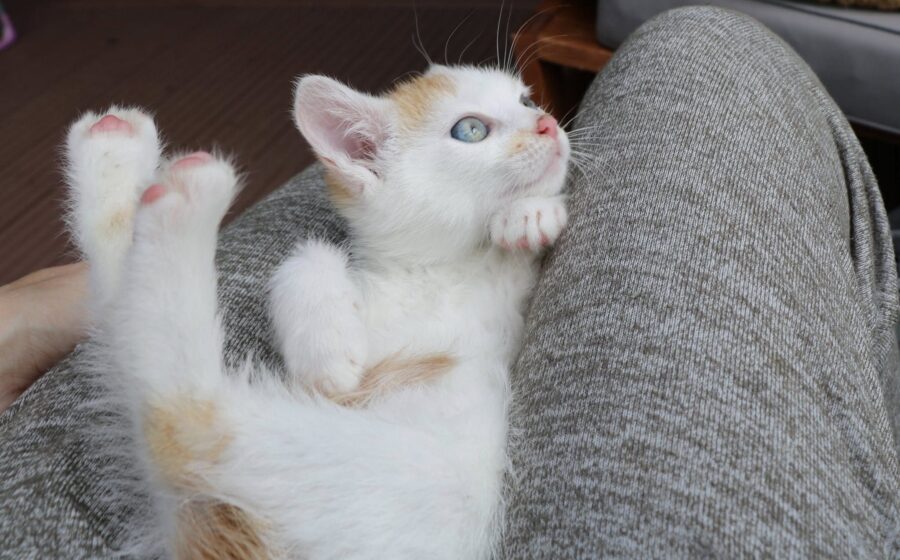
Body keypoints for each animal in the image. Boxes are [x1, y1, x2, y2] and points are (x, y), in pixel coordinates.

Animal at [65, 64, 569, 559]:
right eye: (470, 129)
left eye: (526, 100)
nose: (547, 122)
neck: (432, 270)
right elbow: (308, 258)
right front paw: (325, 351)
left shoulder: (512, 301)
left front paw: (530, 214)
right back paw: (123, 160)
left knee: (182, 420)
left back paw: (177, 193)